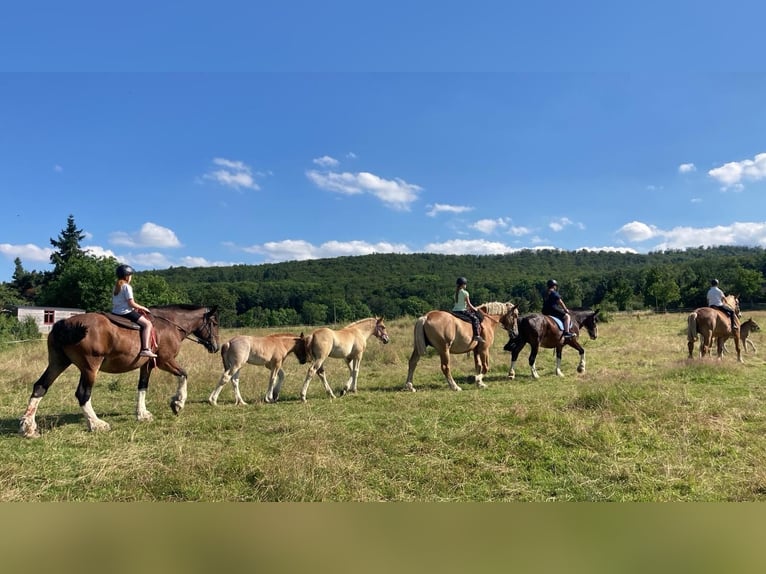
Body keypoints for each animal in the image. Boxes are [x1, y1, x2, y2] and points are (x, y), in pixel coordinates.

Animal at [18, 304, 222, 438]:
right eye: (214, 323)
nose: (216, 347)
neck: (169, 325)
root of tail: (65, 323)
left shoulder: (147, 365)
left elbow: (142, 387)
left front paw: (142, 414)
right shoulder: (166, 361)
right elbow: (184, 374)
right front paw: (178, 402)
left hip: (58, 362)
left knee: (40, 387)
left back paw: (29, 427)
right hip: (90, 367)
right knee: (83, 394)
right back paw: (96, 424)